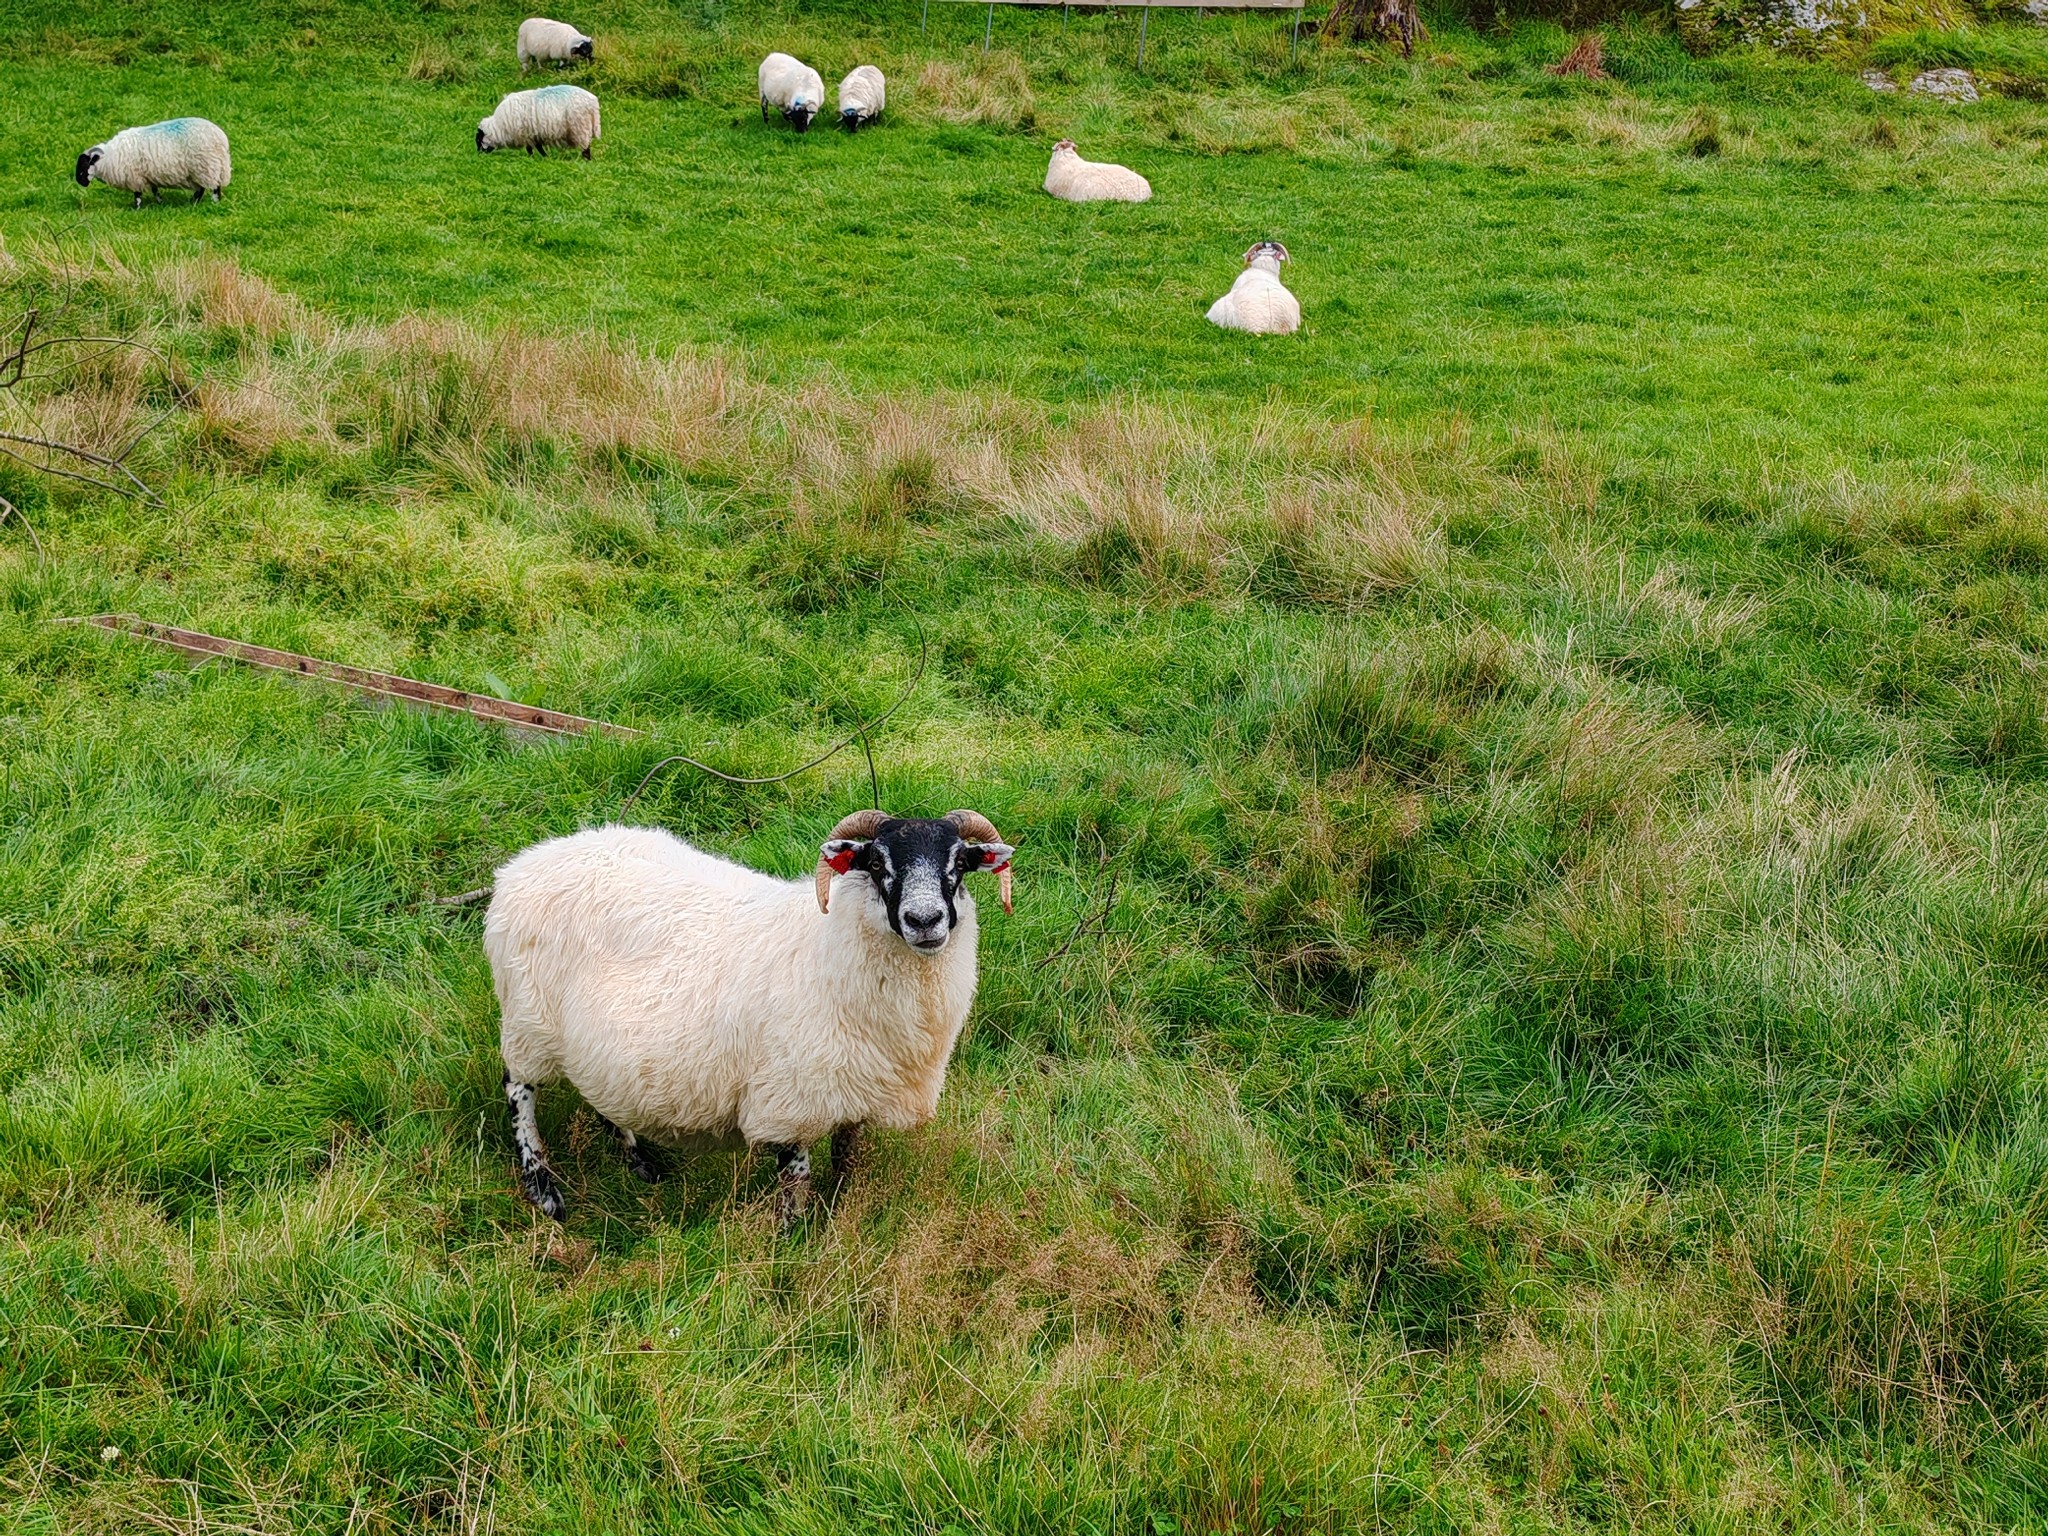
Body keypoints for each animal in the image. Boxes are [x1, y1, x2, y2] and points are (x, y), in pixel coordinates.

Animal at [75, 118, 230, 210]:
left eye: (83, 169)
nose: (81, 183)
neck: (109, 157)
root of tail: (221, 138)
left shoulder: (135, 177)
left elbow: (137, 195)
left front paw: (136, 209)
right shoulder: (148, 176)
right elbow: (155, 190)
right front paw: (160, 202)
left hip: (206, 168)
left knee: (214, 187)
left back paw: (213, 202)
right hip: (202, 171)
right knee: (202, 188)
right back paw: (193, 201)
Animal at [487, 811, 1015, 1236]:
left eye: (959, 863)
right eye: (877, 864)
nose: (924, 920)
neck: (828, 946)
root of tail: (524, 863)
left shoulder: (856, 1092)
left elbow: (847, 1161)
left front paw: (843, 1212)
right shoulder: (789, 1101)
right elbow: (796, 1179)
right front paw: (790, 1238)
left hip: (594, 1044)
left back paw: (639, 1162)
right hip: (528, 1020)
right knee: (518, 1088)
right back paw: (543, 1187)